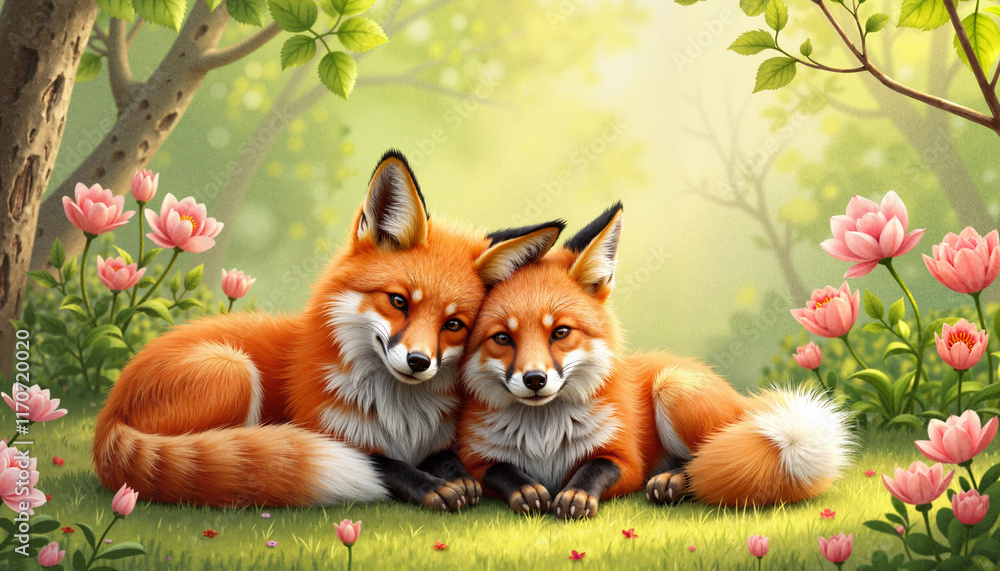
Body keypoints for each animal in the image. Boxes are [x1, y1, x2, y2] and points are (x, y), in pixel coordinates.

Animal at [93, 151, 566, 510]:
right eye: (399, 302)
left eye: (454, 325)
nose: (418, 362)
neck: (400, 416)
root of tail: (110, 411)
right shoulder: (326, 430)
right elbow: (383, 463)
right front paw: (431, 485)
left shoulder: (439, 436)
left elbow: (444, 456)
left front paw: (456, 474)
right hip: (234, 373)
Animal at [456, 202, 853, 519]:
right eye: (503, 338)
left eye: (560, 332)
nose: (535, 379)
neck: (544, 440)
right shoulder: (474, 460)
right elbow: (500, 470)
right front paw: (525, 488)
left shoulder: (626, 460)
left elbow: (594, 468)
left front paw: (576, 493)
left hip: (674, 388)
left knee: (706, 464)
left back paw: (674, 480)